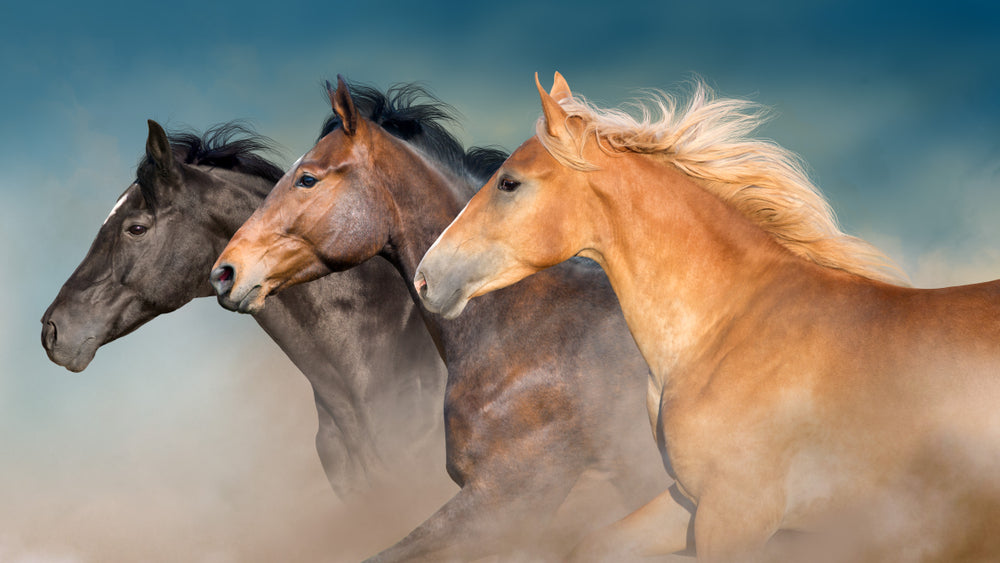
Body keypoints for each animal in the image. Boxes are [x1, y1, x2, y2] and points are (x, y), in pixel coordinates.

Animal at [415, 72, 1000, 561]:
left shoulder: (737, 514)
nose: (425, 278)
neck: (727, 328)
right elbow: (594, 546)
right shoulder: (688, 500)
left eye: (509, 182)